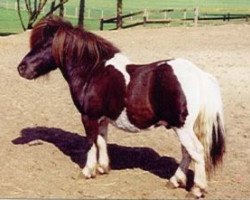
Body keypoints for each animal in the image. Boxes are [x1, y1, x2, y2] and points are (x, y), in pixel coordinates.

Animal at [17, 16, 225, 198]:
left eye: (44, 45)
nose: (21, 68)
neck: (92, 72)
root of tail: (199, 74)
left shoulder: (88, 116)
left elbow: (90, 143)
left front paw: (88, 171)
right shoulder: (102, 118)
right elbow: (101, 141)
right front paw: (103, 167)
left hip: (181, 127)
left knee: (196, 152)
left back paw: (197, 189)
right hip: (183, 127)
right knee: (187, 153)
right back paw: (175, 181)